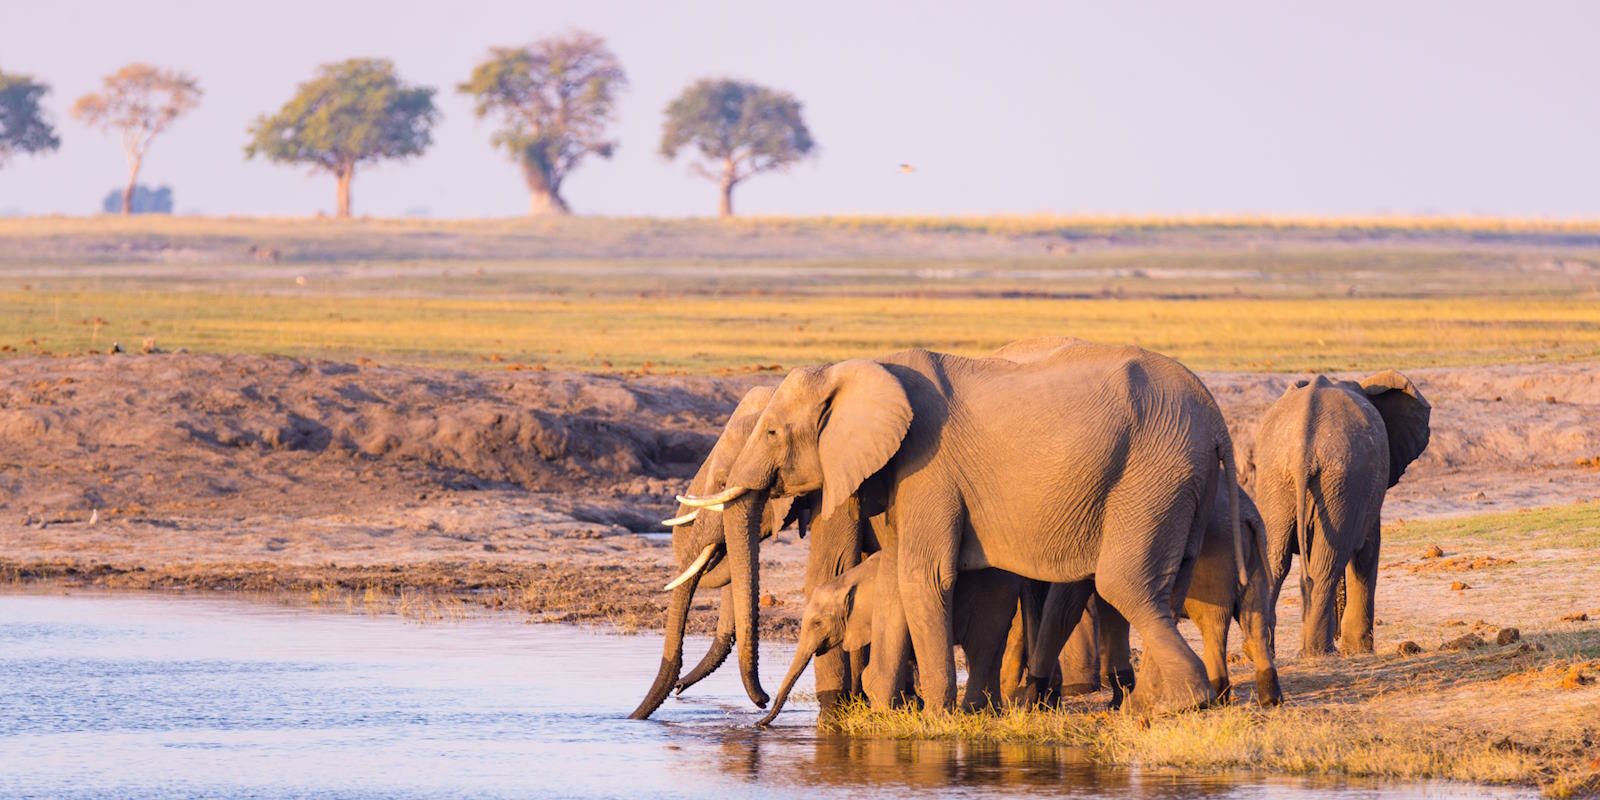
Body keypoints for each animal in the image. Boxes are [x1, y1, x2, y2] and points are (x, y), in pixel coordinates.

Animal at [759, 552, 1026, 725]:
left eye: (817, 623)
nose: (761, 717)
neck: (850, 579)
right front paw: (911, 704)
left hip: (992, 602)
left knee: (980, 650)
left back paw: (970, 712)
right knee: (994, 652)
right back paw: (992, 712)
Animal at [1253, 371, 1430, 657]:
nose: (1337, 636)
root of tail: (1303, 449)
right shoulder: (1363, 492)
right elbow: (1367, 551)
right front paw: (1359, 650)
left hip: (1277, 479)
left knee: (1276, 559)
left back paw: (1272, 654)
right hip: (1342, 479)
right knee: (1328, 563)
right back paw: (1321, 653)